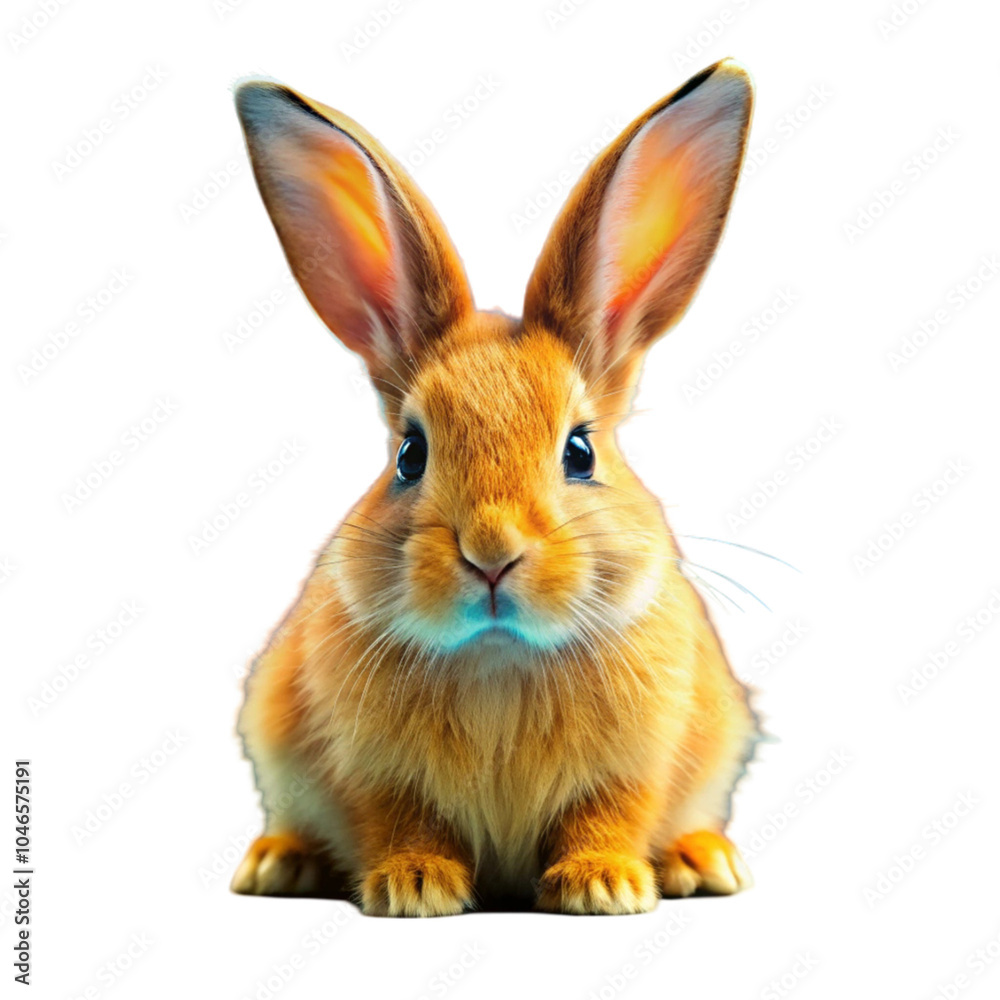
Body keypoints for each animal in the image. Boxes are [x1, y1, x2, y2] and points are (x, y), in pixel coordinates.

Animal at [229, 59, 759, 916]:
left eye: (579, 451)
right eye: (410, 455)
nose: (491, 552)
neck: (499, 658)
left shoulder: (636, 767)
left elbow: (609, 814)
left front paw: (603, 886)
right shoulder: (372, 772)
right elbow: (401, 818)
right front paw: (414, 887)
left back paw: (702, 860)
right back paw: (277, 864)